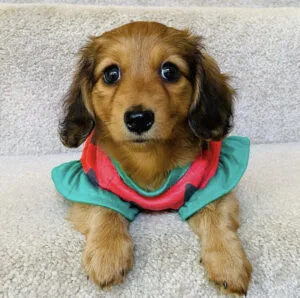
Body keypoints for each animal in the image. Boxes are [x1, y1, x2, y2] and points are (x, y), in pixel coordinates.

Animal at [55, 21, 251, 296]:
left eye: (170, 71)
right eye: (111, 74)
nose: (138, 119)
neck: (148, 157)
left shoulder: (215, 182)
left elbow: (216, 218)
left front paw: (228, 262)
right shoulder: (88, 184)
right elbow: (104, 210)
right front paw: (107, 254)